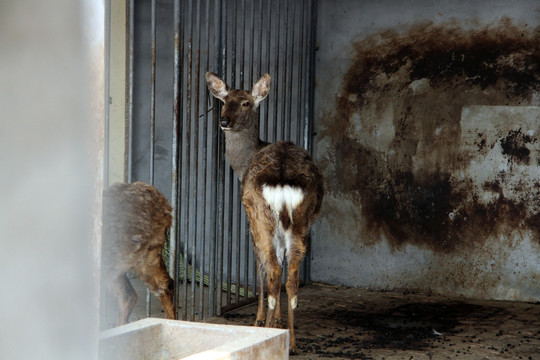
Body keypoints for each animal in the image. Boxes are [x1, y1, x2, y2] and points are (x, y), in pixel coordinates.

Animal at [206, 71, 324, 352]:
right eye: (224, 101)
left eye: (246, 103)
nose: (224, 121)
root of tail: (281, 178)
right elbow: (281, 263)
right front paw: (278, 320)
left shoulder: (250, 220)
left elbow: (259, 267)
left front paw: (262, 319)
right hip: (300, 221)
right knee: (290, 275)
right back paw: (291, 342)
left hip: (261, 216)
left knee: (271, 269)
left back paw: (267, 329)